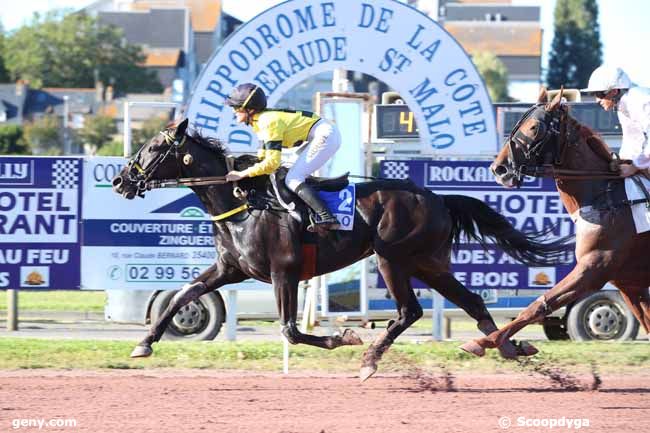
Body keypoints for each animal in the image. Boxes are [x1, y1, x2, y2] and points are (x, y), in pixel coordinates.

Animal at [114, 117, 568, 378]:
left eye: (154, 148)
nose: (121, 180)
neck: (243, 202)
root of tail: (438, 198)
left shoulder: (283, 272)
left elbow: (290, 329)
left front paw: (344, 338)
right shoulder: (231, 269)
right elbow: (184, 295)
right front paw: (144, 343)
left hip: (392, 258)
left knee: (409, 311)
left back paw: (370, 361)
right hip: (429, 263)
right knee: (471, 301)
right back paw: (509, 347)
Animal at [460, 89, 648, 356]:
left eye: (534, 127)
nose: (499, 169)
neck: (608, 199)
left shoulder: (594, 268)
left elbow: (540, 303)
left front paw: (485, 341)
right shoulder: (629, 283)